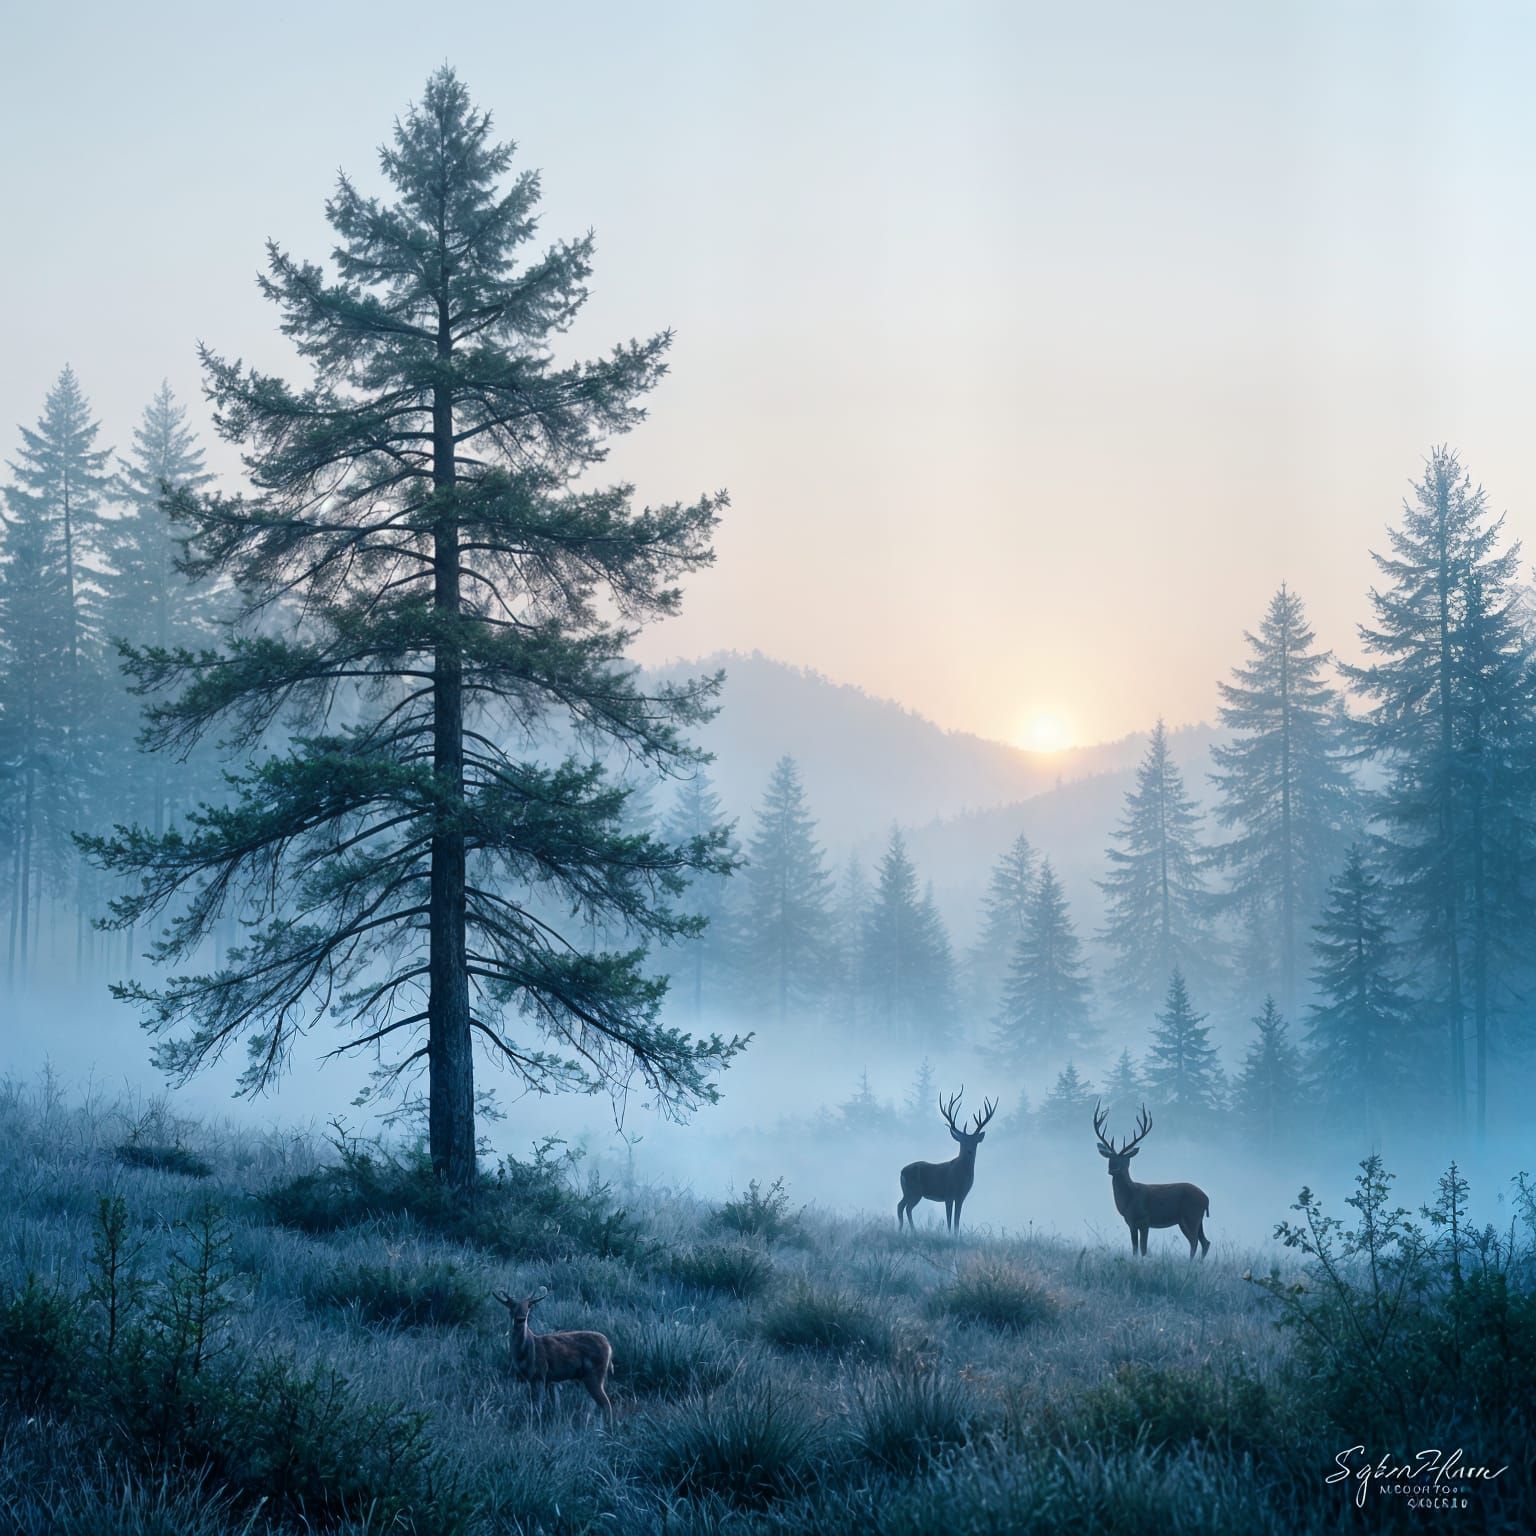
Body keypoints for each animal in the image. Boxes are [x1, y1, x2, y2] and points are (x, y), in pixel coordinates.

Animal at [491, 1286, 614, 1422]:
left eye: (528, 1307)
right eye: (511, 1307)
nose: (521, 1319)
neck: (526, 1352)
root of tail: (609, 1347)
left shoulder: (539, 1373)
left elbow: (538, 1406)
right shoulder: (548, 1380)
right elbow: (555, 1406)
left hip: (594, 1374)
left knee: (605, 1404)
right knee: (595, 1405)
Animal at [897, 1089, 997, 1233]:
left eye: (974, 1142)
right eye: (962, 1141)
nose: (969, 1151)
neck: (961, 1176)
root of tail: (902, 1172)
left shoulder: (961, 1196)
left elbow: (957, 1220)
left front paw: (956, 1235)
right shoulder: (948, 1194)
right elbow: (949, 1220)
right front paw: (949, 1234)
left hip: (908, 1191)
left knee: (901, 1206)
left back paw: (902, 1229)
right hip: (915, 1190)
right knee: (907, 1207)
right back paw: (912, 1230)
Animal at [1092, 1101, 1210, 1259]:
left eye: (1125, 1159)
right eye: (1110, 1159)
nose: (1112, 1170)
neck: (1129, 1199)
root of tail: (1207, 1199)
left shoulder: (1144, 1220)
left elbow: (1143, 1249)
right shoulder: (1131, 1222)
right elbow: (1135, 1249)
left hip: (1191, 1215)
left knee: (1194, 1242)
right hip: (1196, 1219)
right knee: (1205, 1242)